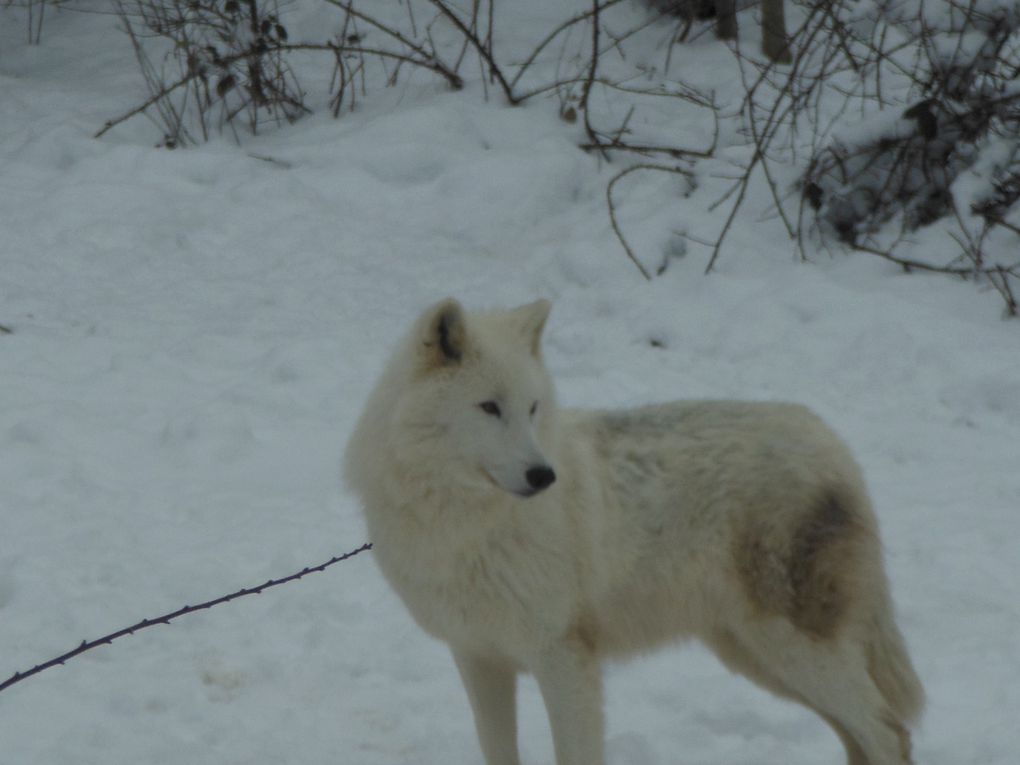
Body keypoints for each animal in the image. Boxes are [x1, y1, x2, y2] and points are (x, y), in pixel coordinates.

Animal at [342, 295, 926, 762]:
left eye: (531, 408)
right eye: (489, 407)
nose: (543, 475)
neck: (464, 524)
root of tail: (835, 446)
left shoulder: (563, 659)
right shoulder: (478, 658)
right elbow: (497, 751)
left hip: (794, 652)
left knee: (887, 733)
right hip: (758, 657)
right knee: (859, 735)